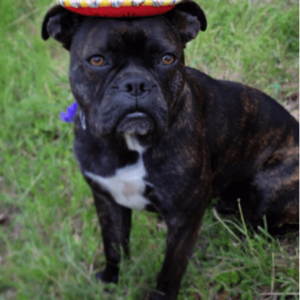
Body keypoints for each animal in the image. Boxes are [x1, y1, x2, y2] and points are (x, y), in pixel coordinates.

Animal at [41, 1, 298, 298]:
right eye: (97, 60)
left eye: (167, 59)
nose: (136, 84)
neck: (129, 144)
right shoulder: (107, 200)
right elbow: (113, 246)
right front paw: (110, 281)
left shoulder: (182, 220)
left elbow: (169, 272)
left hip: (268, 183)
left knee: (265, 227)